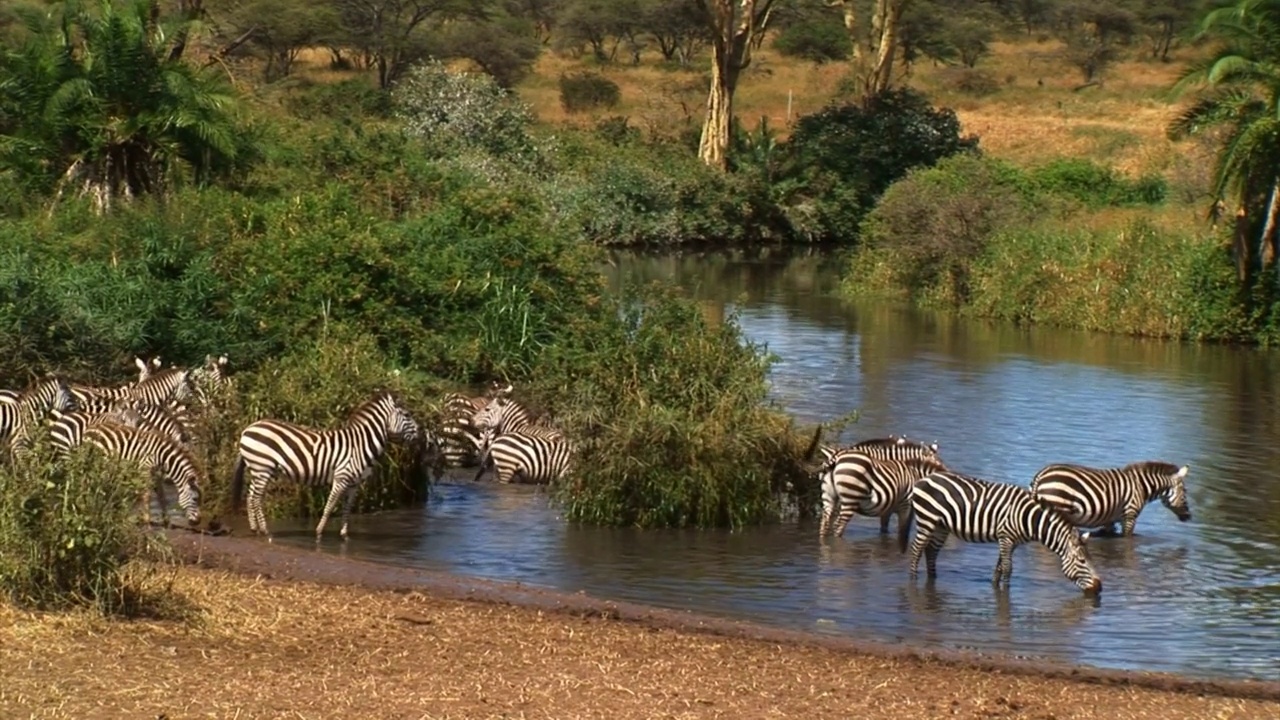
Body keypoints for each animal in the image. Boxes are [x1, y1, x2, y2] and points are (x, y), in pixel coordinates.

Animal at [232, 392, 422, 538]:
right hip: (262, 467)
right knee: (257, 498)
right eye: (407, 415)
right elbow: (330, 506)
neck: (361, 444)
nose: (422, 433)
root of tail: (247, 429)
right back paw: (266, 531)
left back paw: (255, 529)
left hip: (259, 469)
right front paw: (319, 532)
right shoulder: (342, 477)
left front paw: (345, 535)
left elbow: (347, 508)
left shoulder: (355, 483)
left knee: (250, 496)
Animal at [901, 468, 1100, 591]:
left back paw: (933, 578)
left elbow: (999, 567)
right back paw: (913, 580)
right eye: (1082, 561)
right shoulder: (1006, 537)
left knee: (931, 552)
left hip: (941, 526)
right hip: (927, 520)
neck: (1030, 519)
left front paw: (995, 586)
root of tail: (923, 479)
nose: (1099, 588)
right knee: (916, 551)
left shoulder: (1010, 541)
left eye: (1090, 560)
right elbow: (1007, 568)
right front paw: (1005, 591)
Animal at [1024, 458, 1192, 532]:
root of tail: (1040, 476)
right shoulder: (1129, 517)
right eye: (1185, 492)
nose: (1189, 517)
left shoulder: (1108, 519)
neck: (1141, 487)